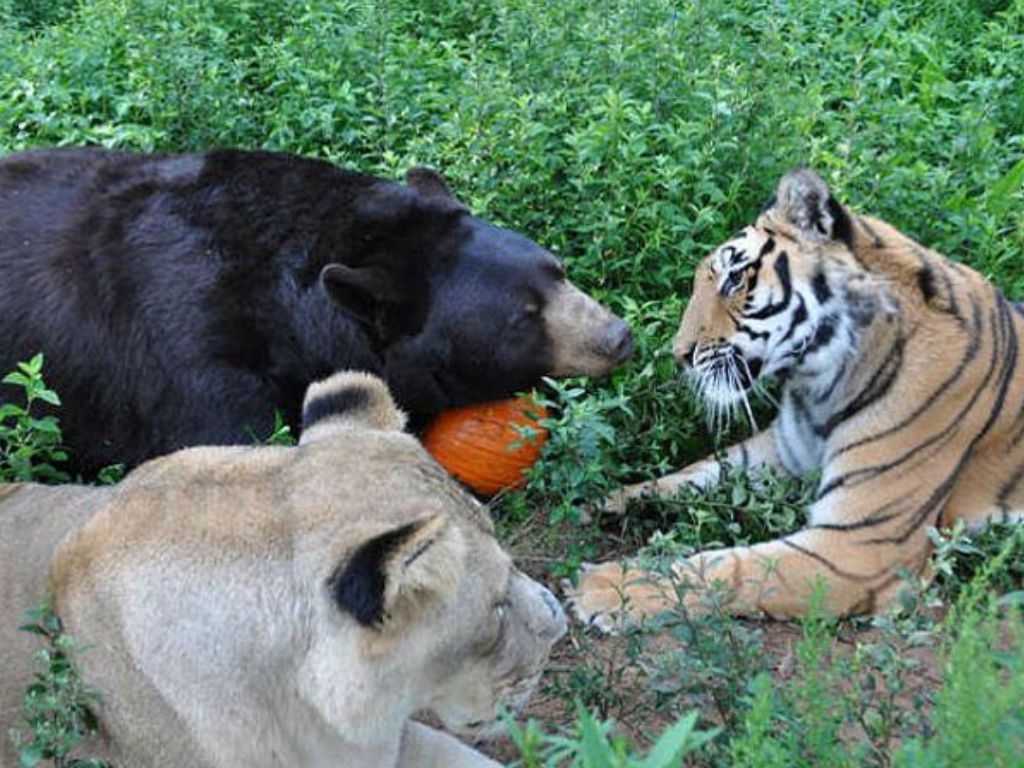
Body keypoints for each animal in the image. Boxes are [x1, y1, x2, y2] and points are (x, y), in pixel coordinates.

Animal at [566, 167, 1024, 629]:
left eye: (735, 278)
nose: (679, 355)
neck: (820, 384)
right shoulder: (783, 452)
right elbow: (692, 474)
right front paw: (600, 501)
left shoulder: (863, 545)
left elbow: (733, 568)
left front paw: (611, 588)